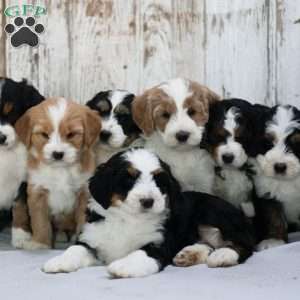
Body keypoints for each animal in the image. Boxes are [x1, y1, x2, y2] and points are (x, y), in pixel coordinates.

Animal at [12, 97, 101, 250]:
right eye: (44, 135)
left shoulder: (84, 193)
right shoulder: (38, 192)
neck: (61, 170)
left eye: (71, 134)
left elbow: (83, 221)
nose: (58, 154)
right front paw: (40, 243)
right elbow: (40, 222)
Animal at [41, 149, 253, 278]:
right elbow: (75, 249)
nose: (148, 201)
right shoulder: (92, 238)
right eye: (128, 179)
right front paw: (58, 262)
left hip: (214, 214)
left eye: (159, 181)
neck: (128, 219)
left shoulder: (158, 245)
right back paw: (188, 254)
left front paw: (122, 266)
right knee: (208, 244)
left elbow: (139, 253)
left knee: (243, 244)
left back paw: (222, 256)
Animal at [252, 105, 300, 251]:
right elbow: (274, 217)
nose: (280, 166)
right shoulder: (266, 192)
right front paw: (274, 240)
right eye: (268, 143)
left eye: (297, 144)